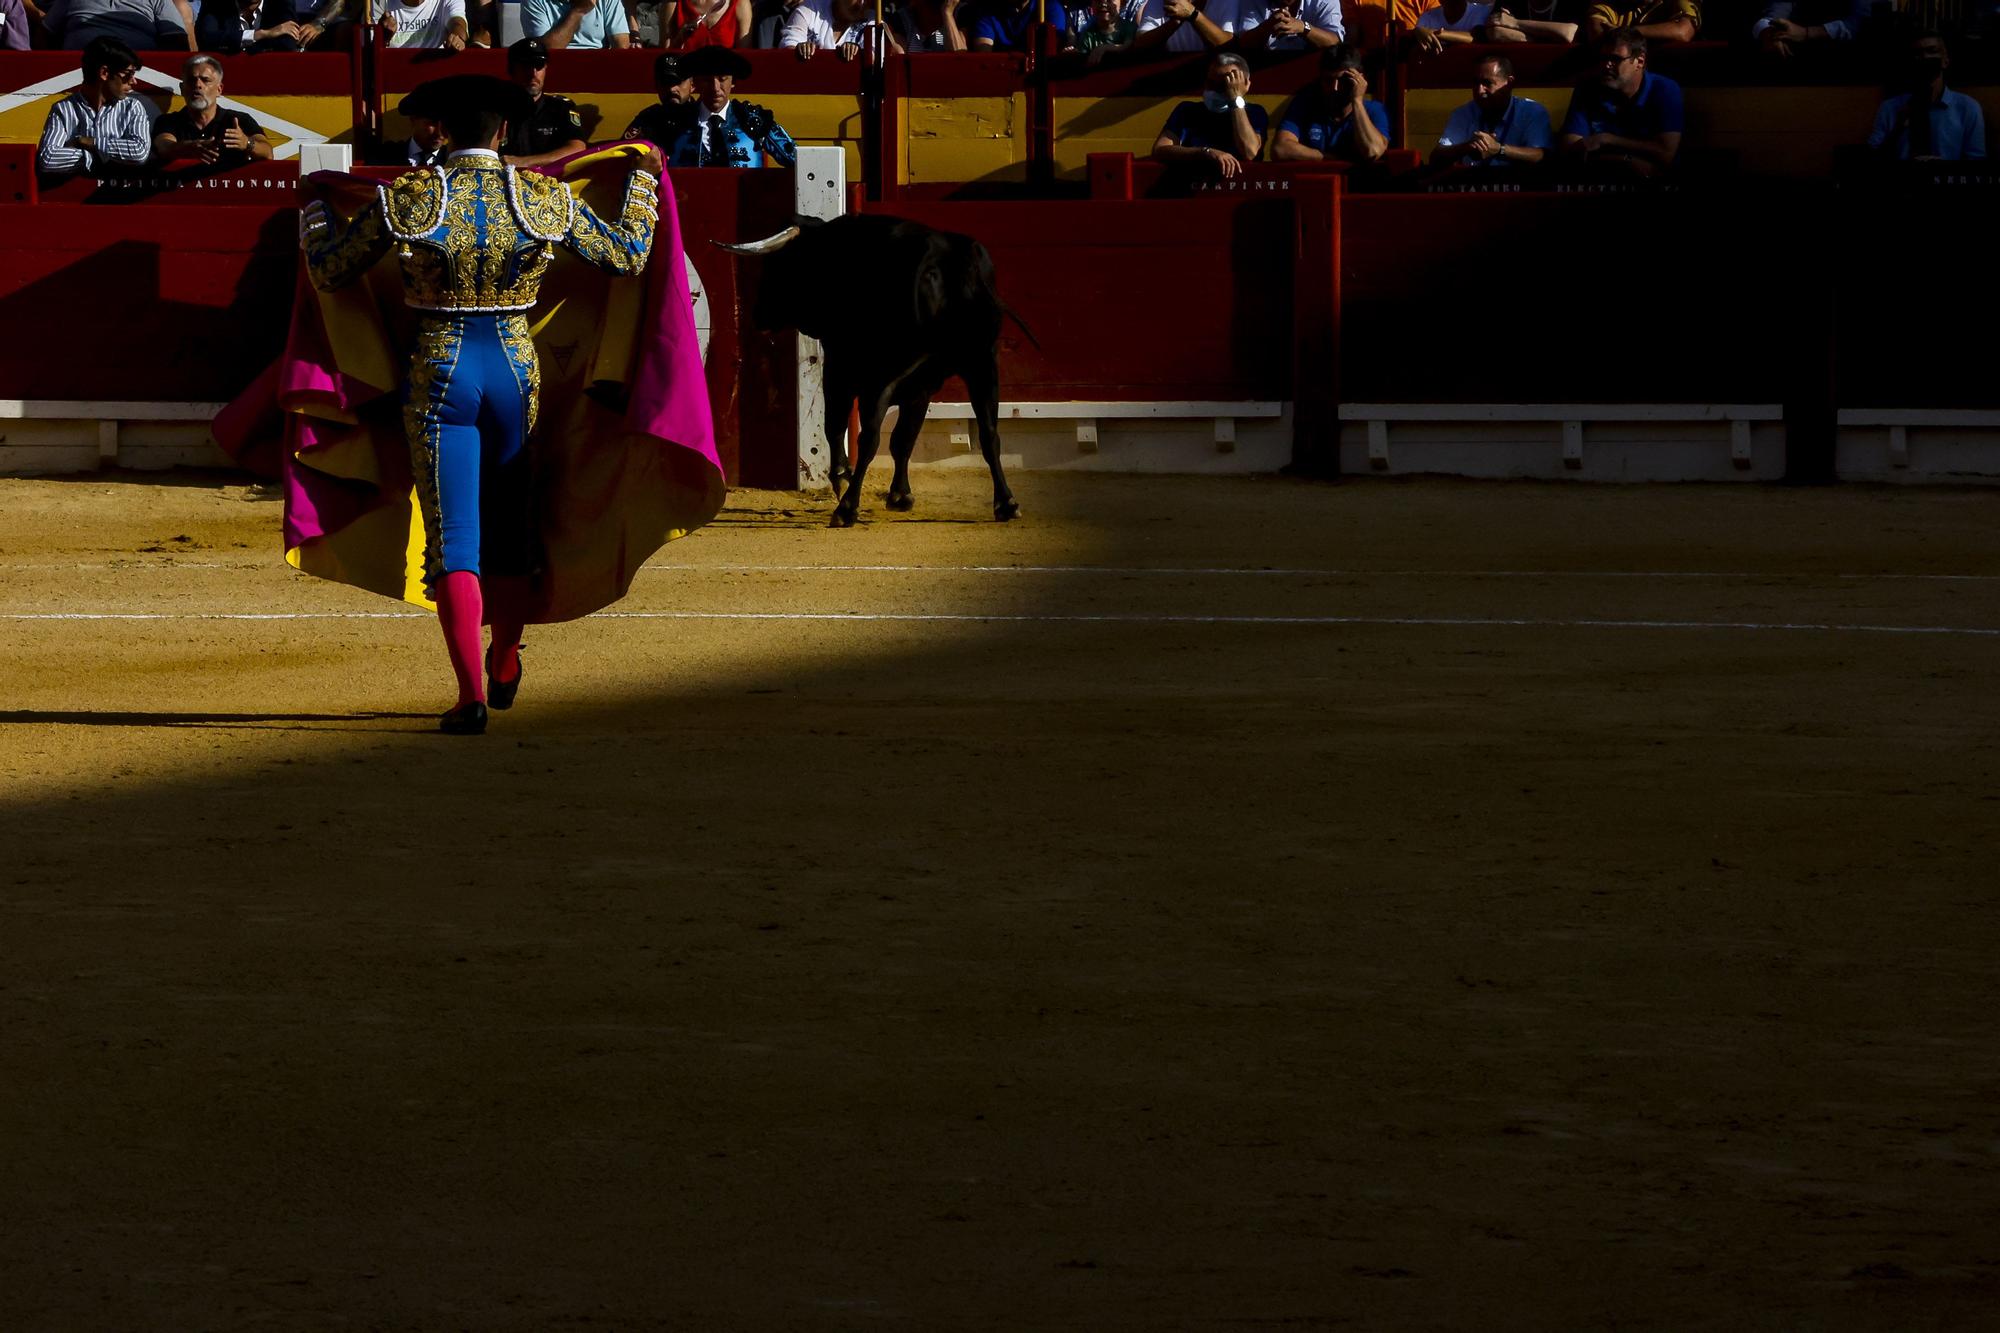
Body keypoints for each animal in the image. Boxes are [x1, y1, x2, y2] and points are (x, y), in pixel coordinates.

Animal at [724, 213, 1032, 524]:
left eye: (777, 265)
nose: (758, 314)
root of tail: (950, 261)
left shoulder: (840, 369)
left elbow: (836, 427)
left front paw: (843, 479)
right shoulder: (921, 386)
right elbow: (903, 439)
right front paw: (900, 495)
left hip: (886, 375)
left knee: (869, 438)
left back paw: (846, 507)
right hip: (982, 365)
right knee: (989, 433)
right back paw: (1006, 503)